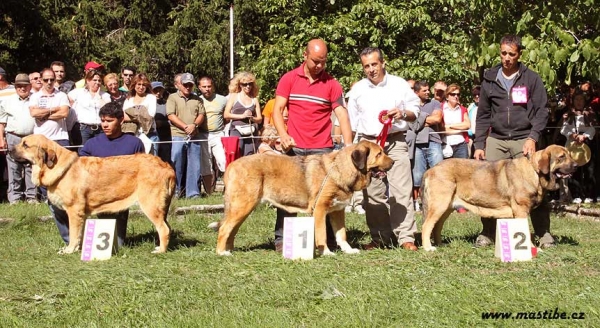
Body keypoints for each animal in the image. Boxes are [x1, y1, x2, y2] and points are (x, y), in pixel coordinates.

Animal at [11, 133, 176, 254]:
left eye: (25, 145)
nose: (9, 150)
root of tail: (167, 166)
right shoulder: (81, 214)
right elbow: (79, 233)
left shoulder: (73, 211)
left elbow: (73, 233)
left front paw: (69, 250)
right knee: (168, 227)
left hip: (150, 205)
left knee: (163, 229)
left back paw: (161, 251)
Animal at [211, 140, 394, 256]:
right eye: (379, 154)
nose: (393, 162)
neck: (342, 168)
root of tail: (231, 165)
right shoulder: (320, 209)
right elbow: (321, 234)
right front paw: (326, 252)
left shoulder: (337, 211)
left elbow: (341, 234)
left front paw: (348, 251)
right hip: (243, 206)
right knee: (224, 229)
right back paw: (222, 253)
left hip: (243, 208)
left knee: (232, 230)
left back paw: (229, 250)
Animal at [420, 145, 580, 251]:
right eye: (561, 157)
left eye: (569, 155)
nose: (576, 166)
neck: (535, 171)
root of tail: (431, 169)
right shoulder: (521, 210)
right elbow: (525, 232)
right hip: (439, 205)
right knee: (427, 226)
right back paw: (428, 248)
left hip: (446, 207)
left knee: (437, 226)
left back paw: (440, 245)